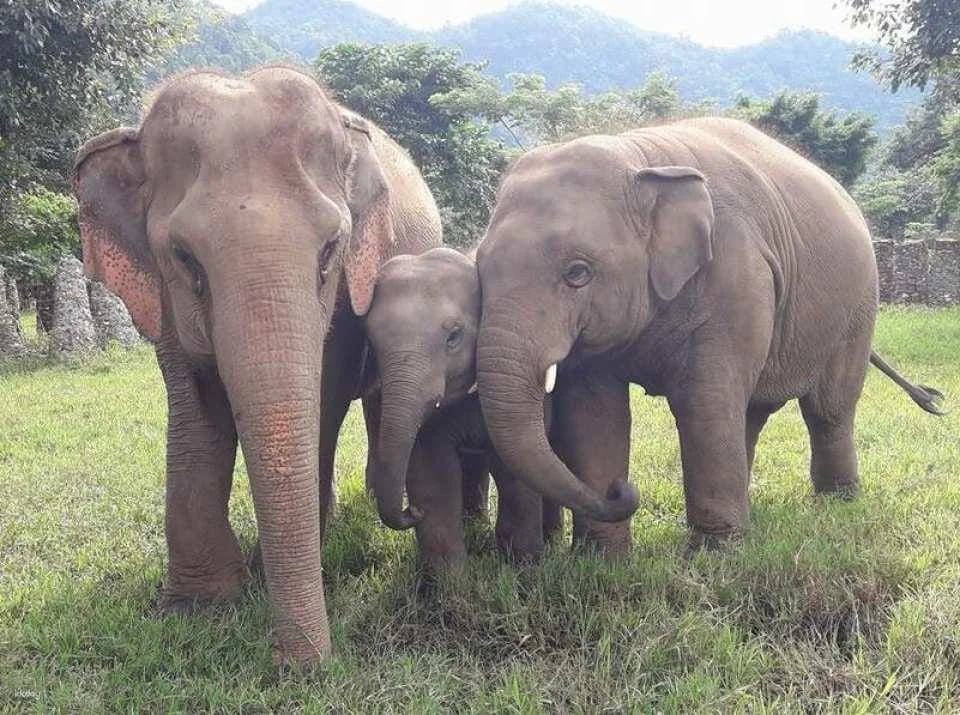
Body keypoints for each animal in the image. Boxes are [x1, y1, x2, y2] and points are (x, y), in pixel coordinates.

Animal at [73, 66, 441, 663]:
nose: (303, 666)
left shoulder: (345, 298)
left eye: (330, 249)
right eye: (185, 258)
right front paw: (196, 606)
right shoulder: (163, 296)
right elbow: (194, 410)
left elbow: (322, 399)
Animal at [362, 247, 561, 570]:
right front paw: (444, 580)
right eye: (371, 342)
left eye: (453, 336)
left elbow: (514, 471)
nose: (411, 511)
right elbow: (433, 472)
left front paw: (524, 567)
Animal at [472, 116, 944, 554]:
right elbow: (593, 410)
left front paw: (715, 554)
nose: (622, 490)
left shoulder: (737, 275)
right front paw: (601, 559)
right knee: (751, 411)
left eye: (577, 273)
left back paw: (836, 502)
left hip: (859, 305)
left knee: (827, 409)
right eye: (481, 268)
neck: (639, 157)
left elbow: (704, 398)